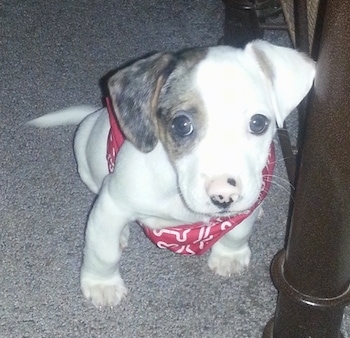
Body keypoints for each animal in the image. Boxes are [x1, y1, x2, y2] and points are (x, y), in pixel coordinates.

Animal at [28, 40, 316, 308]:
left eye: (258, 123)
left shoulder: (251, 196)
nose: (224, 196)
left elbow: (239, 230)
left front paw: (229, 255)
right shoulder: (112, 203)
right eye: (181, 125)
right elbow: (103, 251)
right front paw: (102, 284)